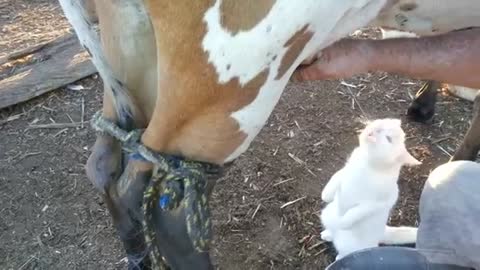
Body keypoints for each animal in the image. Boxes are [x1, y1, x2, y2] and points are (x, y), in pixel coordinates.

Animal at [322, 118, 420, 260]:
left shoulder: (377, 203)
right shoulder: (346, 170)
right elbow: (336, 177)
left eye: (388, 139)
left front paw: (344, 222)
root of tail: (382, 232)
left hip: (349, 245)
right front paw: (326, 195)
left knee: (347, 252)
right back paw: (327, 234)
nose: (377, 128)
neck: (367, 163)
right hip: (326, 215)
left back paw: (339, 256)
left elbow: (356, 212)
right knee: (332, 230)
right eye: (383, 123)